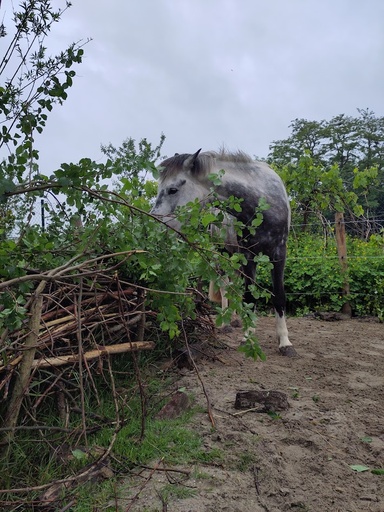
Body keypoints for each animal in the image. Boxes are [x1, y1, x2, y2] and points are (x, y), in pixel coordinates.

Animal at [152, 148, 296, 356]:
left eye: (173, 189)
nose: (155, 224)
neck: (264, 204)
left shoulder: (278, 255)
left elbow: (279, 296)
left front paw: (284, 342)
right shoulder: (249, 256)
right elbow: (249, 296)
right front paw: (248, 337)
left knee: (233, 285)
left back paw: (236, 320)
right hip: (223, 255)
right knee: (225, 285)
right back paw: (227, 323)